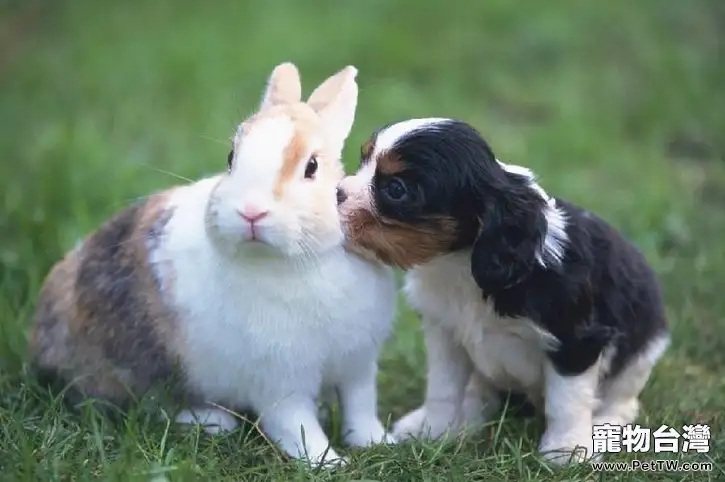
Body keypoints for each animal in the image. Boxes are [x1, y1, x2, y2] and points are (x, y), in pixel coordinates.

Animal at [29, 62, 396, 466]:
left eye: (312, 167)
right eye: (231, 158)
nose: (251, 212)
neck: (302, 260)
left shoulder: (358, 364)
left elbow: (360, 408)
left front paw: (378, 442)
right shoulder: (279, 382)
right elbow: (297, 426)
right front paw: (328, 462)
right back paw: (213, 421)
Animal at [336, 116, 672, 464]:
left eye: (396, 190)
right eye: (363, 160)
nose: (335, 193)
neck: (459, 263)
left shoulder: (577, 340)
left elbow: (567, 400)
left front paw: (567, 449)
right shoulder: (445, 332)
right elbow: (443, 389)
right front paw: (434, 430)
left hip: (645, 348)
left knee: (623, 400)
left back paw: (606, 426)